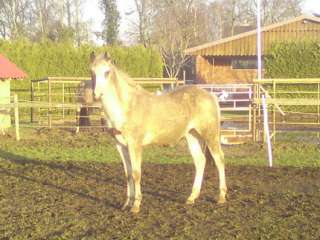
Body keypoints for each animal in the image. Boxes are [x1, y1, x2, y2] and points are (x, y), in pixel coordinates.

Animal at [89, 51, 226, 213]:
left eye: (107, 72)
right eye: (91, 72)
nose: (96, 94)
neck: (127, 106)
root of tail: (211, 96)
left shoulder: (135, 144)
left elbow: (136, 174)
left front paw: (136, 206)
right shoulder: (120, 145)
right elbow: (128, 174)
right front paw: (126, 204)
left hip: (210, 135)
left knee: (219, 160)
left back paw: (221, 197)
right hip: (192, 136)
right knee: (200, 161)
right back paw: (191, 198)